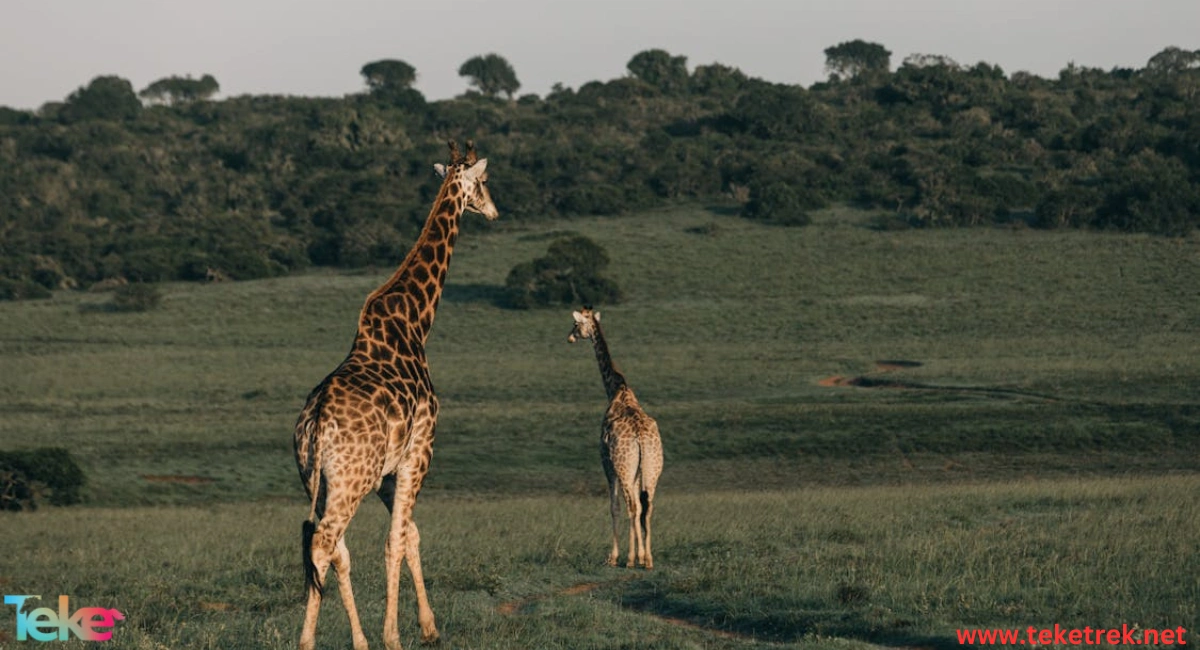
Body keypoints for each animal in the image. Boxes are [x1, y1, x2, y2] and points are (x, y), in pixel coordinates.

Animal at [295, 140, 496, 647]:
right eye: (484, 182)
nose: (493, 210)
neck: (416, 322)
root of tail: (316, 423)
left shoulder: (388, 471)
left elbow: (411, 535)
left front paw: (425, 625)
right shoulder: (419, 450)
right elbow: (396, 539)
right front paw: (395, 634)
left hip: (319, 480)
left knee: (333, 547)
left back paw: (357, 640)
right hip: (350, 481)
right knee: (324, 542)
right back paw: (309, 640)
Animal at [564, 309, 662, 568]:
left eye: (576, 323)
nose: (569, 338)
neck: (616, 389)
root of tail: (641, 438)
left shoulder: (607, 462)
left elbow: (614, 507)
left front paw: (615, 556)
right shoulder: (636, 470)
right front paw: (640, 555)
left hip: (624, 467)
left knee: (632, 506)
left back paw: (630, 559)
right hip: (652, 469)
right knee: (647, 507)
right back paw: (648, 559)